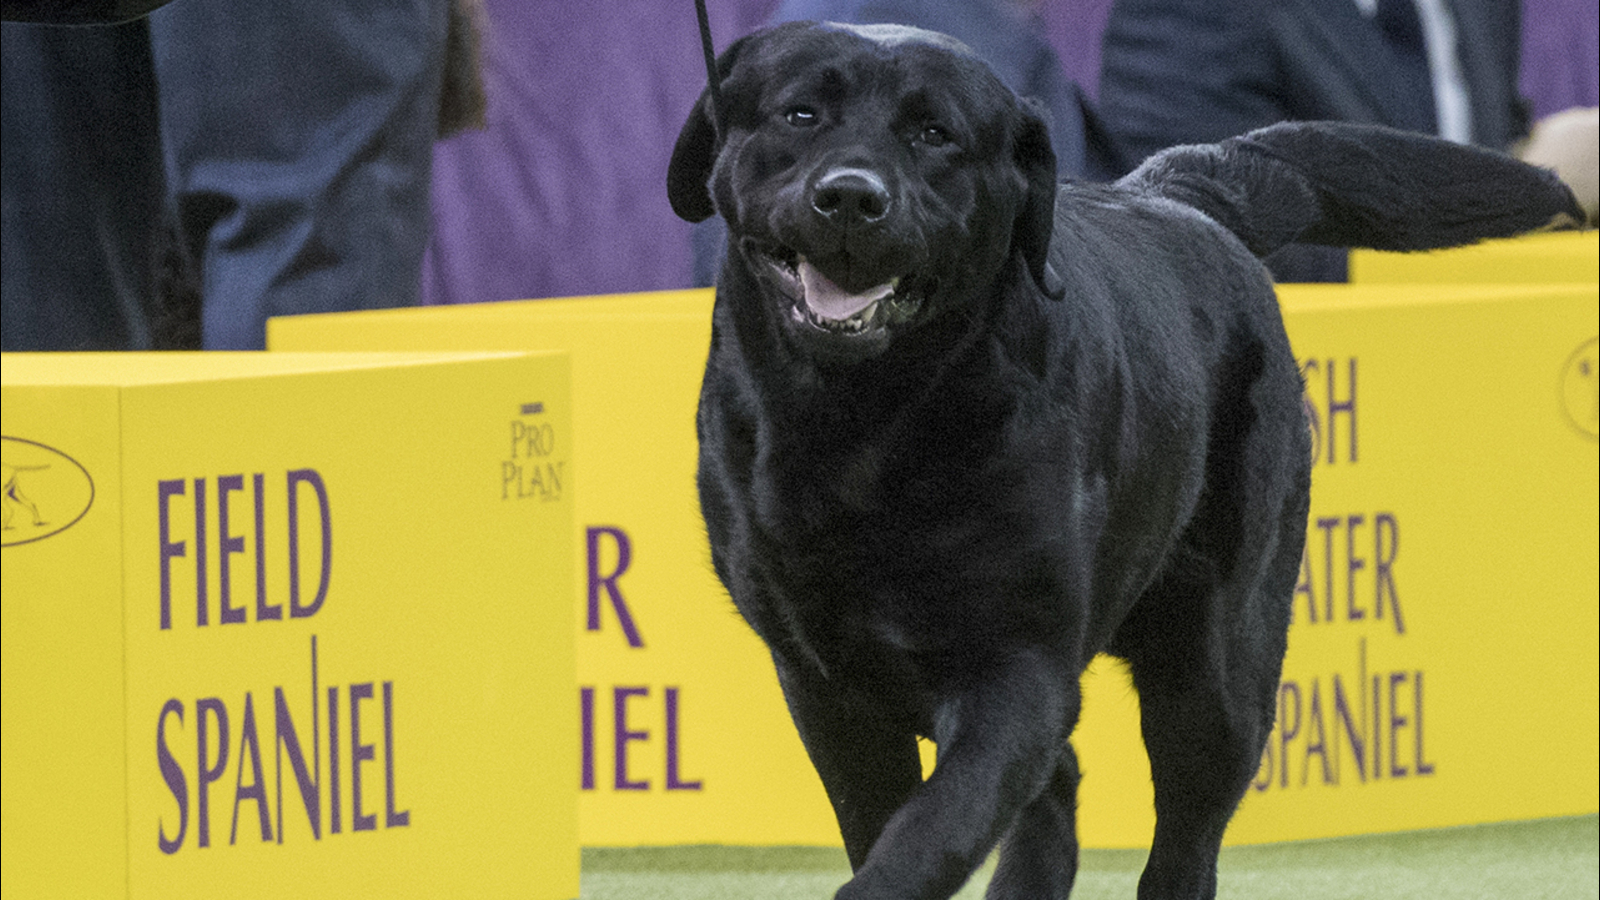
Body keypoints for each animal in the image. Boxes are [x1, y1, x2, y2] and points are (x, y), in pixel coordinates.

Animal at [668, 21, 1581, 900]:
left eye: (935, 134)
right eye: (799, 115)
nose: (852, 197)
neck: (868, 427)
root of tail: (1178, 190)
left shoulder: (1018, 663)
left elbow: (936, 826)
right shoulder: (826, 684)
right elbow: (901, 820)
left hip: (1217, 672)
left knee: (1180, 848)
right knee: (1061, 780)